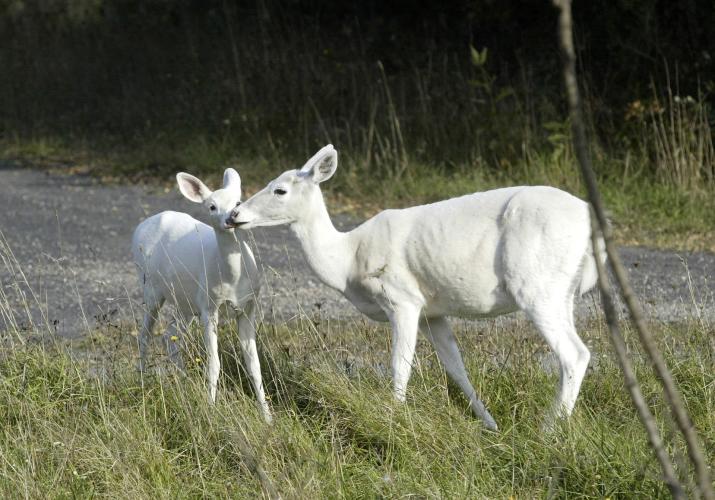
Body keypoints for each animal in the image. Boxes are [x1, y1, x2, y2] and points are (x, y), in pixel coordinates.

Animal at [132, 168, 271, 422]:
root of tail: (143, 225)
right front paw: (211, 411)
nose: (230, 219)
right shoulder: (209, 307)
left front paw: (267, 417)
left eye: (238, 202)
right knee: (145, 335)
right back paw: (142, 381)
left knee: (170, 334)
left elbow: (255, 366)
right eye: (212, 206)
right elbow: (213, 363)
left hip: (185, 302)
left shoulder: (249, 307)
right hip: (151, 288)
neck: (232, 279)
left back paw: (183, 382)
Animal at [229, 145, 602, 431]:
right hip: (562, 291)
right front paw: (490, 425)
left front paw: (392, 421)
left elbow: (400, 366)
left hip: (536, 283)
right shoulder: (432, 311)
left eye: (280, 190)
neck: (347, 259)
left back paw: (548, 430)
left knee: (575, 353)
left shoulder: (402, 298)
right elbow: (456, 368)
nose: (235, 214)